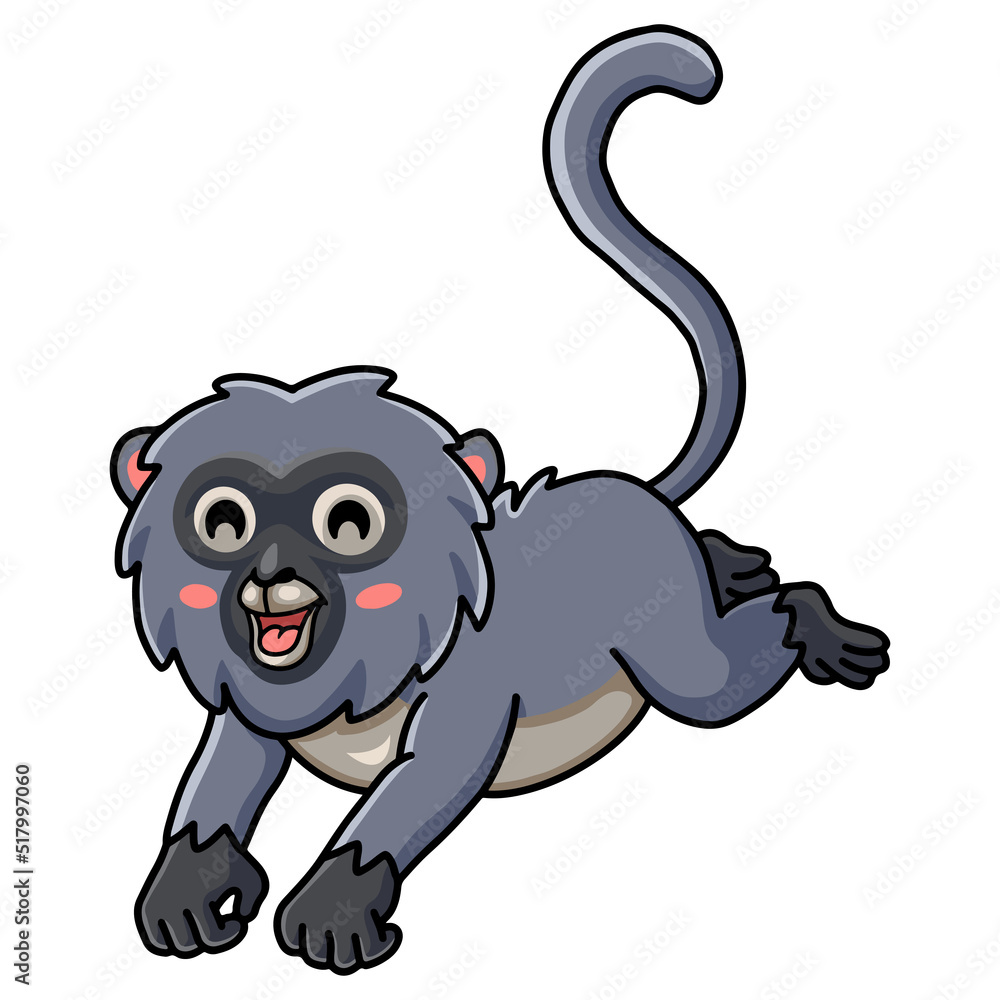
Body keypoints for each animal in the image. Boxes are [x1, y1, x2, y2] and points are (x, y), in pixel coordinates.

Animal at [112, 26, 889, 974]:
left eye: (349, 521)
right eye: (223, 521)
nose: (266, 576)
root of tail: (631, 490)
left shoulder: (466, 698)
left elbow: (411, 793)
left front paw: (334, 913)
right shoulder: (249, 706)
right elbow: (216, 782)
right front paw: (187, 894)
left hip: (680, 659)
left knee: (740, 657)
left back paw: (815, 623)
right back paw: (738, 562)